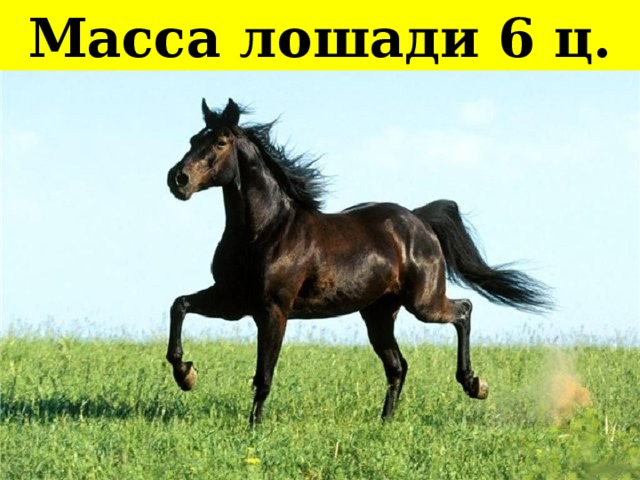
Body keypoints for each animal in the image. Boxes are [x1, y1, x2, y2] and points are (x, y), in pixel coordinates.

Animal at [166, 98, 552, 424]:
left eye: (220, 143)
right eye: (193, 139)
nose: (178, 179)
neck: (265, 232)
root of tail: (418, 219)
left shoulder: (272, 310)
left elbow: (264, 374)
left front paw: (253, 427)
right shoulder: (233, 300)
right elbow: (179, 305)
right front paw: (186, 375)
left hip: (424, 303)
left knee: (463, 310)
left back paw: (474, 385)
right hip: (378, 313)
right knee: (398, 366)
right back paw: (386, 422)